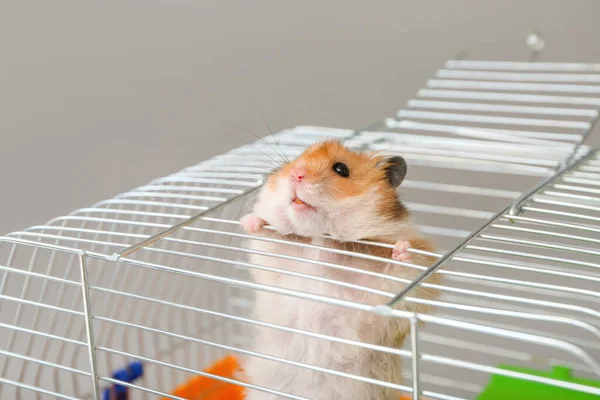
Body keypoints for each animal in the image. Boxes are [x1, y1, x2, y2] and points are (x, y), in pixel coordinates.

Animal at [239, 141, 440, 400]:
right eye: (294, 160)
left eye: (341, 169)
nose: (296, 174)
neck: (321, 235)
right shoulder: (279, 265)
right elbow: (268, 240)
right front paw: (250, 221)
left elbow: (400, 274)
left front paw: (403, 250)